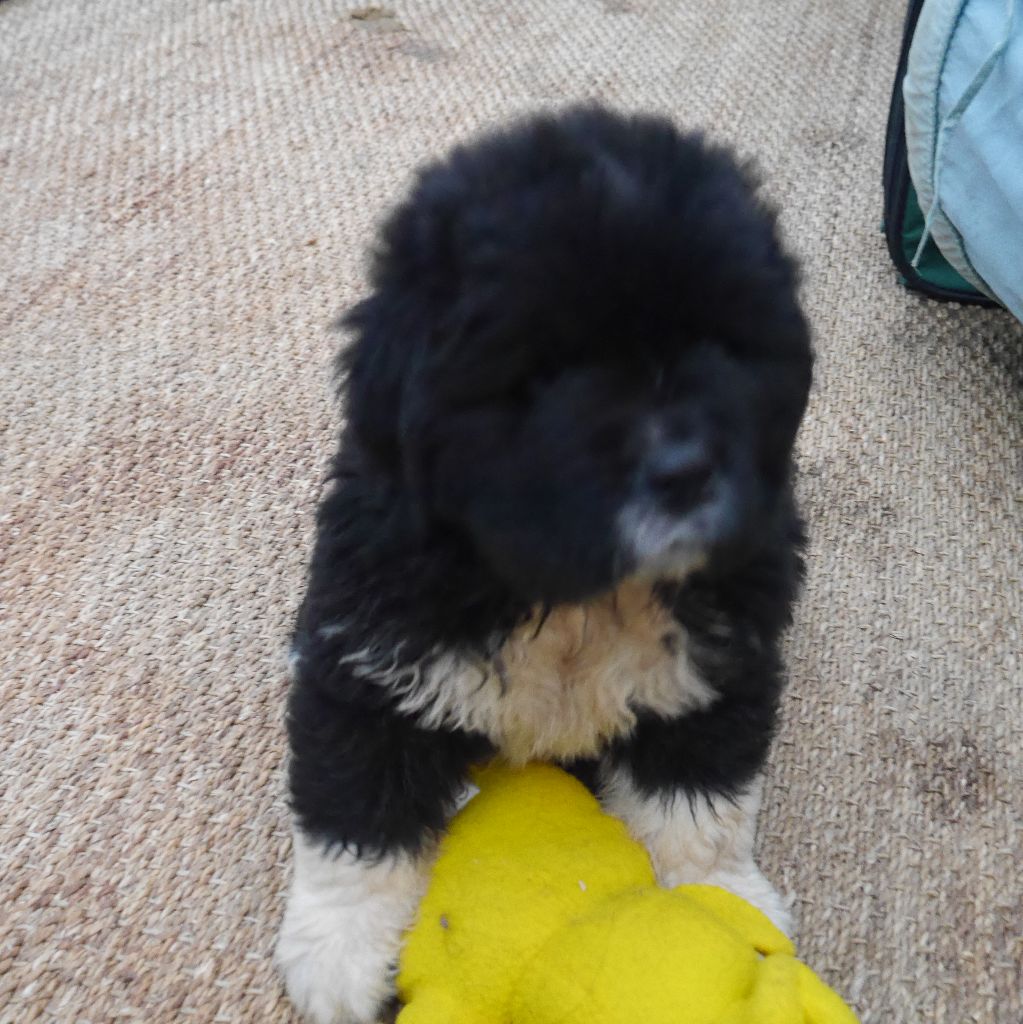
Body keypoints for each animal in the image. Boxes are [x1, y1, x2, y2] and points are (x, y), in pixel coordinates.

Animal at [276, 106, 813, 1024]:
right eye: (542, 369)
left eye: (718, 343)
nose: (682, 469)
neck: (579, 600)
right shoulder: (369, 658)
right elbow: (358, 807)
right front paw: (338, 956)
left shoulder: (718, 667)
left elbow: (698, 800)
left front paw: (723, 904)